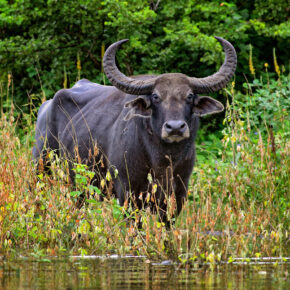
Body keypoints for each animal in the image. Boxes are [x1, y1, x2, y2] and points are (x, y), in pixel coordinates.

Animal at [32, 36, 236, 222]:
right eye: (155, 96)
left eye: (190, 96)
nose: (175, 127)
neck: (162, 160)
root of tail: (46, 107)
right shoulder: (127, 194)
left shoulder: (177, 195)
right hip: (42, 170)